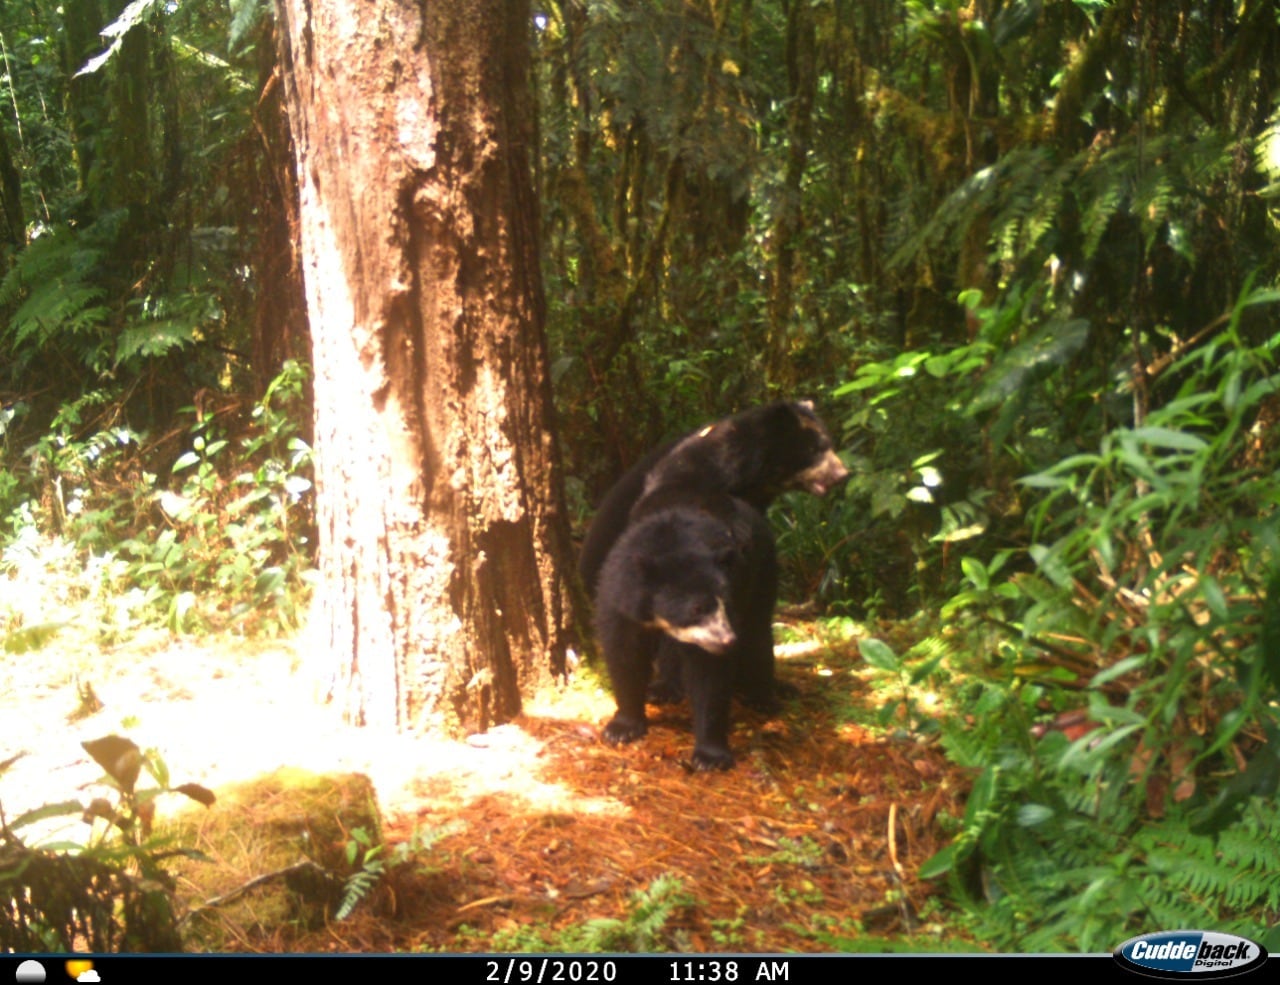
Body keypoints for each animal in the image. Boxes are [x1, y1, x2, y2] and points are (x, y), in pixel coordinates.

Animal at [595, 489, 777, 770]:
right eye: (697, 608)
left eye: (726, 603)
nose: (727, 641)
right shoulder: (619, 600)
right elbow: (624, 654)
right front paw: (621, 729)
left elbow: (709, 675)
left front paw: (710, 757)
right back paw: (664, 689)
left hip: (762, 571)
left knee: (758, 631)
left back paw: (761, 696)